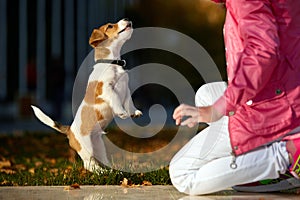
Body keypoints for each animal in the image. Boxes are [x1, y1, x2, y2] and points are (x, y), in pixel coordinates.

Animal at [31, 18, 142, 171]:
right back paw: (101, 173)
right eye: (110, 26)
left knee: (100, 161)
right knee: (89, 165)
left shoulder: (126, 88)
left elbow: (129, 102)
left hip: (98, 146)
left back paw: (113, 171)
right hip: (87, 148)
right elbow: (115, 98)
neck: (111, 63)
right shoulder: (106, 88)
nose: (126, 19)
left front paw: (134, 112)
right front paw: (121, 112)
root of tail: (69, 131)